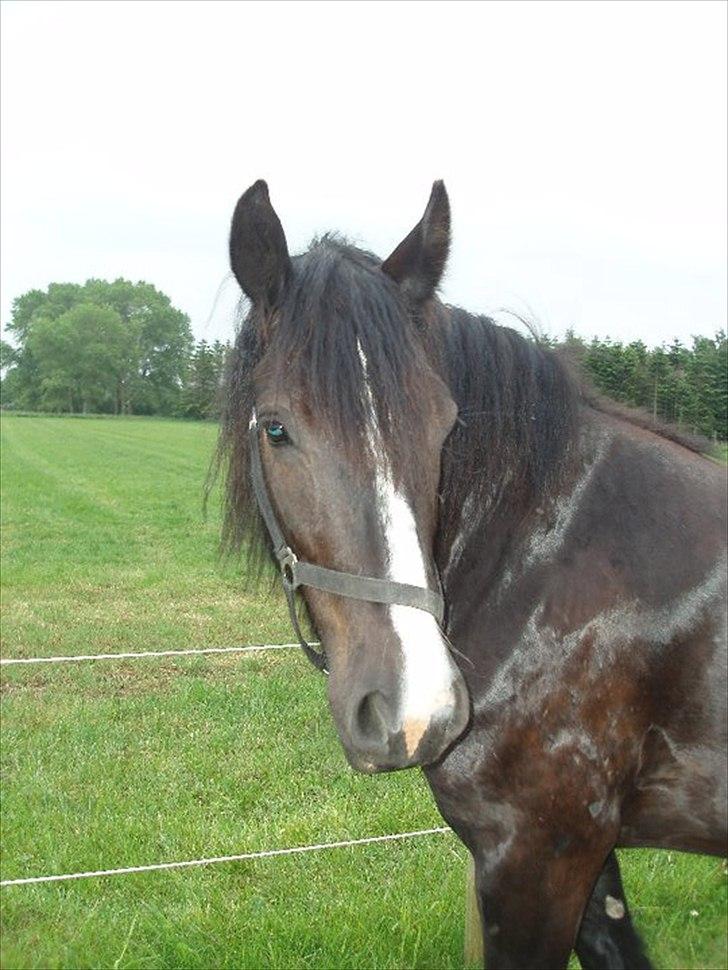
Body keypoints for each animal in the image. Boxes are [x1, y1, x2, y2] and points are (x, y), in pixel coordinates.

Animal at [217, 179, 727, 969]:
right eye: (275, 428)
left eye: (445, 426)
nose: (414, 709)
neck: (541, 566)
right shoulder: (588, 858)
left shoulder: (537, 856)